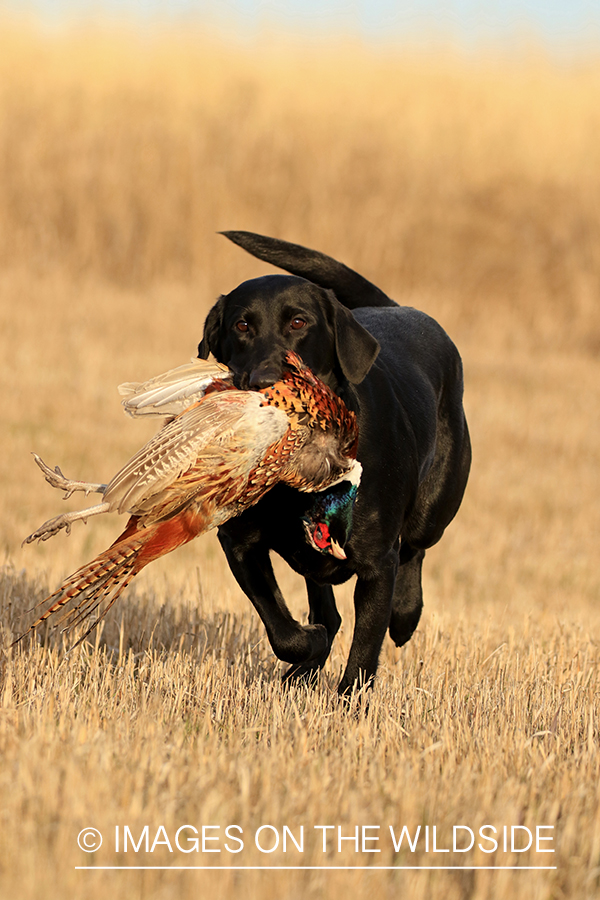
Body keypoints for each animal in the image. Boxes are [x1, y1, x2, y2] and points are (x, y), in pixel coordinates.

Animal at [197, 229, 468, 692]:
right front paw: (308, 651)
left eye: (298, 322)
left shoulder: (377, 564)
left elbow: (364, 648)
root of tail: (398, 308)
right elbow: (284, 629)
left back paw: (405, 615)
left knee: (415, 548)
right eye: (242, 325)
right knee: (328, 606)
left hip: (437, 503)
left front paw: (349, 700)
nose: (265, 381)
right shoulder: (239, 542)